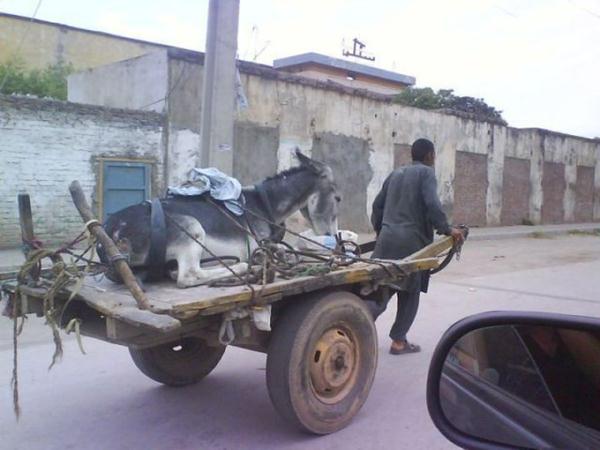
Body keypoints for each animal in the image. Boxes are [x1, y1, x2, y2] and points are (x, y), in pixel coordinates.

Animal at [99, 150, 340, 288]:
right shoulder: (256, 247)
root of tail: (110, 233)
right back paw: (241, 268)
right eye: (338, 198)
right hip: (192, 228)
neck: (265, 203)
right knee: (188, 276)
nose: (333, 238)